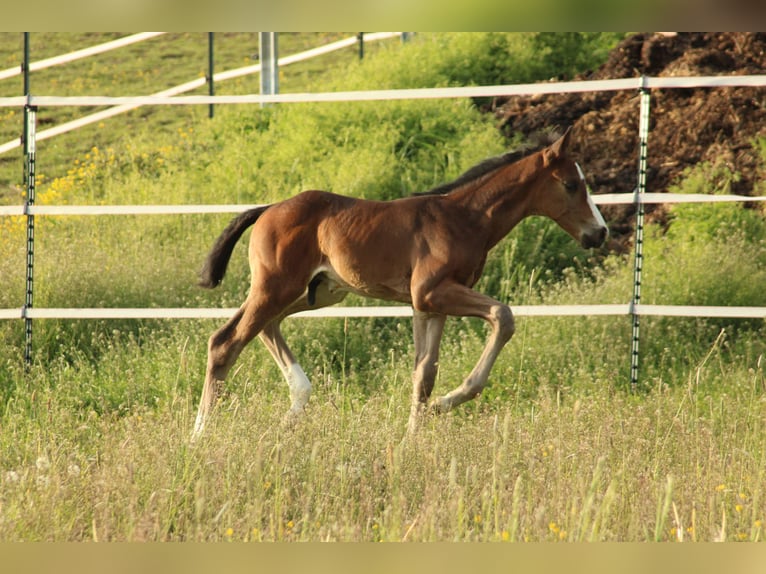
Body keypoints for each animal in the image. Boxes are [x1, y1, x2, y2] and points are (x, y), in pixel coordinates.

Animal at [192, 127, 607, 439]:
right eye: (572, 184)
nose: (599, 232)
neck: (465, 218)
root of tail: (268, 209)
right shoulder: (432, 292)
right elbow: (502, 316)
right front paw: (444, 405)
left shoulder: (428, 305)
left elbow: (424, 374)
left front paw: (413, 437)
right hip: (277, 286)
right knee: (226, 342)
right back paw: (200, 434)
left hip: (317, 291)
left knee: (261, 327)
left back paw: (292, 411)